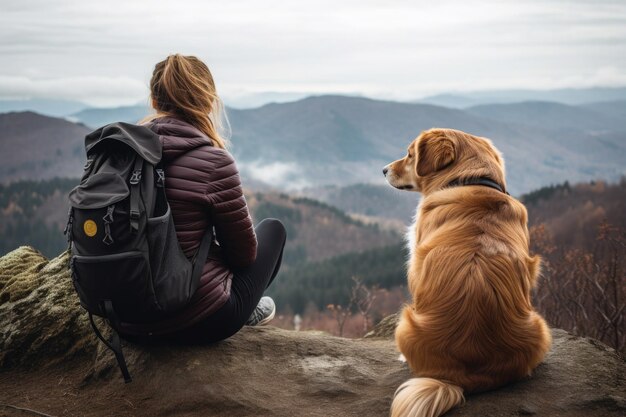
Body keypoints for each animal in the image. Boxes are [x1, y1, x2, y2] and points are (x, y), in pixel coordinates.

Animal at [382, 127, 548, 416]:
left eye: (410, 154)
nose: (383, 170)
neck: (470, 182)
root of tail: (460, 376)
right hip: (539, 327)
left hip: (405, 323)